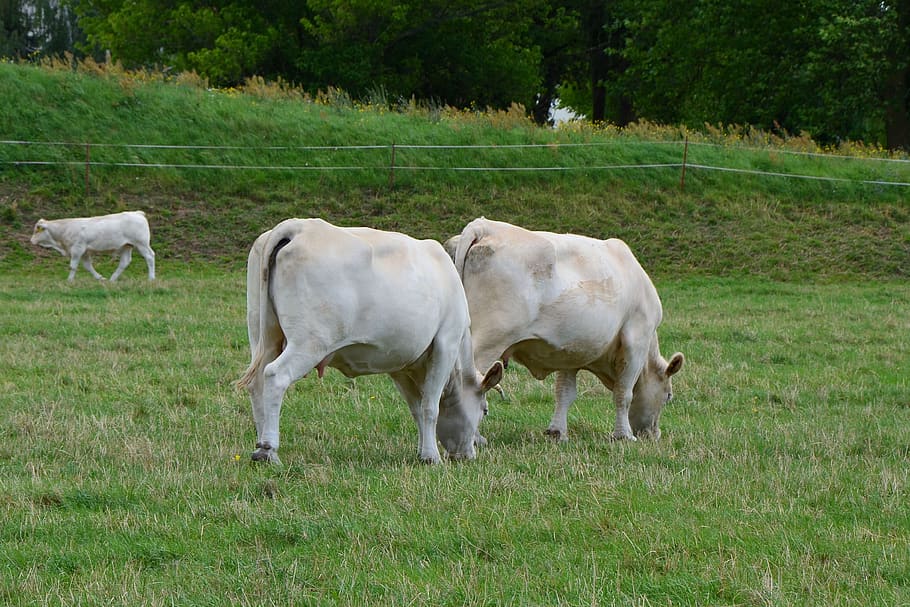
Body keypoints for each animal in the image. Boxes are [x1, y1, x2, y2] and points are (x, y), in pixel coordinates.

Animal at [237, 218, 503, 464]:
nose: (469, 454)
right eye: (485, 410)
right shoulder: (445, 343)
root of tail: (297, 226)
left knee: (257, 382)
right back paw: (268, 449)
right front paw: (431, 456)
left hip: (264, 336)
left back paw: (262, 446)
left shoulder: (401, 365)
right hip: (309, 342)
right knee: (275, 376)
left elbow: (416, 408)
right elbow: (430, 406)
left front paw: (422, 452)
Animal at [450, 217, 684, 442]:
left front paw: (557, 432)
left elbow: (565, 393)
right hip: (488, 339)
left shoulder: (571, 352)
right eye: (668, 396)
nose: (653, 434)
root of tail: (483, 226)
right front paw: (624, 435)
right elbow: (624, 393)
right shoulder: (636, 340)